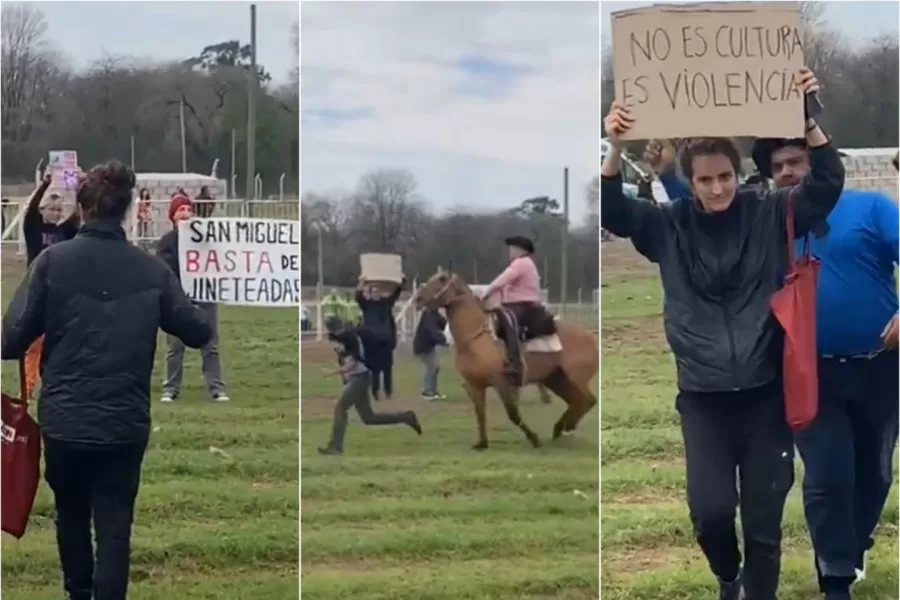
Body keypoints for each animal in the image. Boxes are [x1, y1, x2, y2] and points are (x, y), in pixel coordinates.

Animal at [414, 270, 596, 448]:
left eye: (441, 279)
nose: (417, 299)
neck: (476, 339)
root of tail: (590, 336)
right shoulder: (475, 386)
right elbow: (480, 413)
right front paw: (482, 443)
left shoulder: (500, 383)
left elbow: (512, 413)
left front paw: (534, 438)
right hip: (556, 379)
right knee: (577, 403)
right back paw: (561, 428)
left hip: (577, 379)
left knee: (587, 401)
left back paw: (565, 427)